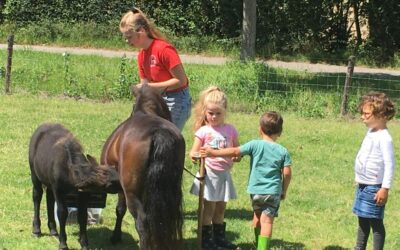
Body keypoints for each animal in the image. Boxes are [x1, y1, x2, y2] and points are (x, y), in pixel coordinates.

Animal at [101, 85, 186, 249]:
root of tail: (159, 133)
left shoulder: (121, 187)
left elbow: (120, 210)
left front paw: (116, 236)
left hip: (132, 193)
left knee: (142, 223)